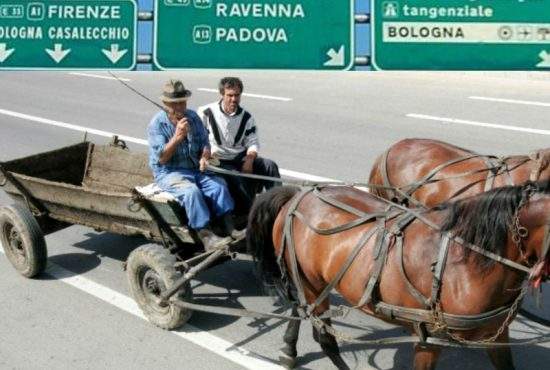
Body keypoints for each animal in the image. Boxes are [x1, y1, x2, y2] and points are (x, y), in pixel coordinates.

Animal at [249, 182, 550, 370]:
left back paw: (289, 349)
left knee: (301, 311)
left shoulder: (497, 335)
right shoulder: (428, 340)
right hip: (311, 283)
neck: (465, 262)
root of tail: (298, 195)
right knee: (325, 339)